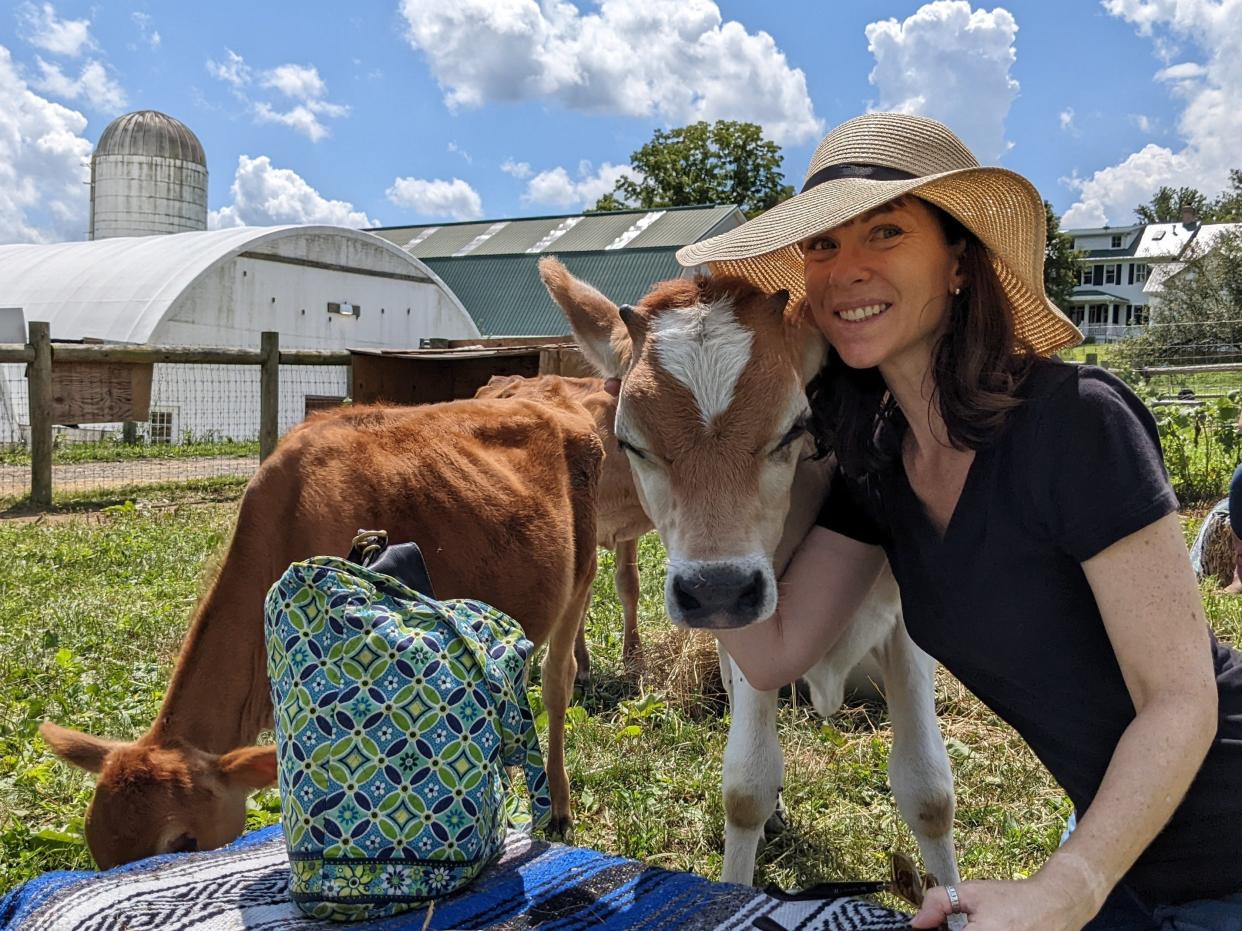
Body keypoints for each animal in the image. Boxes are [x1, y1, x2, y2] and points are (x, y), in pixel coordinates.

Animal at [38, 397, 601, 873]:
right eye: (96, 848)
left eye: (183, 842)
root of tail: (557, 405)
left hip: (583, 572)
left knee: (557, 679)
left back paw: (557, 806)